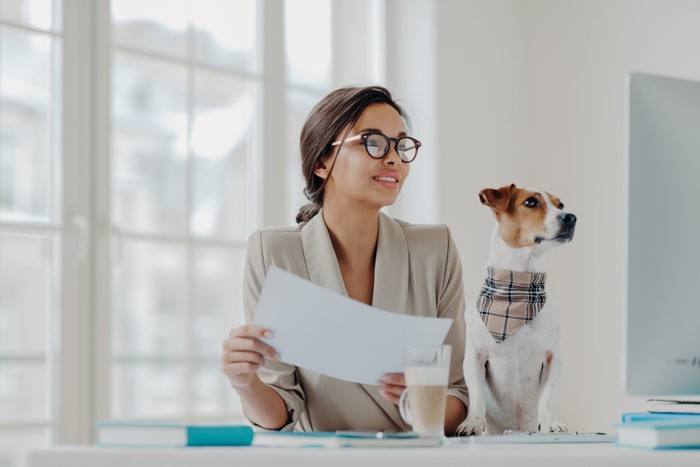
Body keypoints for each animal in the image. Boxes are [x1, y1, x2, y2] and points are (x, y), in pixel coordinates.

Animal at [456, 185, 576, 436]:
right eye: (531, 202)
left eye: (560, 205)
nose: (571, 217)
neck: (517, 290)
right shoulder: (474, 356)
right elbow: (476, 397)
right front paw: (472, 423)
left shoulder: (554, 357)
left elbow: (548, 397)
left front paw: (551, 423)